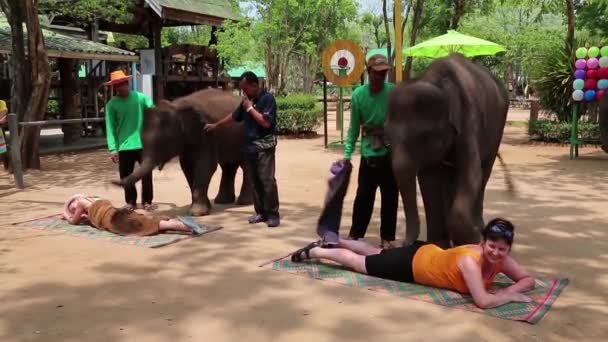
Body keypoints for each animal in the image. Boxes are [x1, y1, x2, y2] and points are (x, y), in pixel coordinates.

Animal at [113, 88, 252, 216]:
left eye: (164, 141)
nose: (112, 182)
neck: (176, 106)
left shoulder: (207, 134)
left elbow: (205, 166)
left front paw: (197, 213)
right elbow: (187, 167)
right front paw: (203, 208)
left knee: (245, 165)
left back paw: (244, 202)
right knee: (228, 166)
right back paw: (222, 201)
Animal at [388, 52, 510, 246]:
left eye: (424, 137)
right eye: (387, 139)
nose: (402, 244)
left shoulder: (469, 120)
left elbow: (471, 174)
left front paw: (472, 239)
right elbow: (429, 180)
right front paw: (439, 246)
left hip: (498, 125)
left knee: (484, 173)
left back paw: (479, 227)